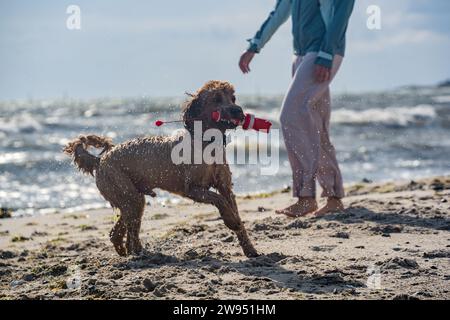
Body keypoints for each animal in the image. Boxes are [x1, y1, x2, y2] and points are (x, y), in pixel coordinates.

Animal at [64, 82, 258, 258]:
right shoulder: (192, 189)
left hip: (132, 200)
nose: (239, 111)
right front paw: (231, 221)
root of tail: (100, 160)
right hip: (128, 195)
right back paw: (139, 254)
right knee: (128, 233)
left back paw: (133, 252)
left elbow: (233, 210)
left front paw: (250, 249)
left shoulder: (225, 187)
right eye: (216, 99)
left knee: (119, 233)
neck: (207, 143)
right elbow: (219, 200)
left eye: (233, 98)